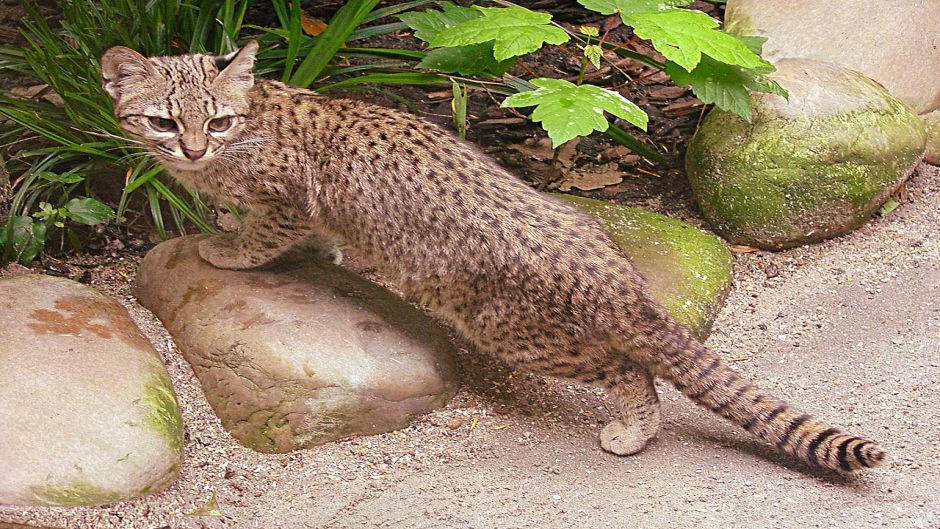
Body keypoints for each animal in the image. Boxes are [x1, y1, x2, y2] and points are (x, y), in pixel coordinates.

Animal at [104, 41, 888, 470]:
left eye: (217, 121)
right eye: (164, 120)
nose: (192, 151)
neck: (254, 117)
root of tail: (611, 271)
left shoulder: (283, 202)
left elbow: (261, 239)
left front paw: (224, 247)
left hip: (515, 331)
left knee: (630, 369)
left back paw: (631, 428)